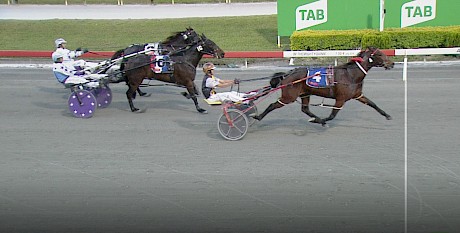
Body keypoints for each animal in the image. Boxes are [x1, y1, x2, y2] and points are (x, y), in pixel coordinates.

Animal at [253, 46, 394, 124]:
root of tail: (288, 74)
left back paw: (316, 118)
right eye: (380, 54)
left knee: (305, 109)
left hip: (305, 94)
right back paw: (258, 117)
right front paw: (321, 121)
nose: (391, 64)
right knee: (273, 105)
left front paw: (387, 115)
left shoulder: (358, 95)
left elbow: (372, 104)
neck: (350, 74)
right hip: (289, 97)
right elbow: (332, 115)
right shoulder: (340, 99)